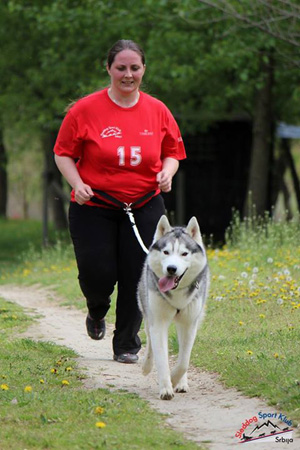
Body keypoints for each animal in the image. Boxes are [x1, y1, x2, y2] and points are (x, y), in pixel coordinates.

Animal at [137, 215, 210, 400]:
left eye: (184, 253)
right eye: (166, 252)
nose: (171, 269)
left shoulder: (189, 324)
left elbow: (184, 361)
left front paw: (175, 379)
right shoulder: (158, 322)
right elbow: (161, 357)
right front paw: (166, 387)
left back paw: (182, 383)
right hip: (147, 312)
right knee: (149, 342)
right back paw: (146, 366)